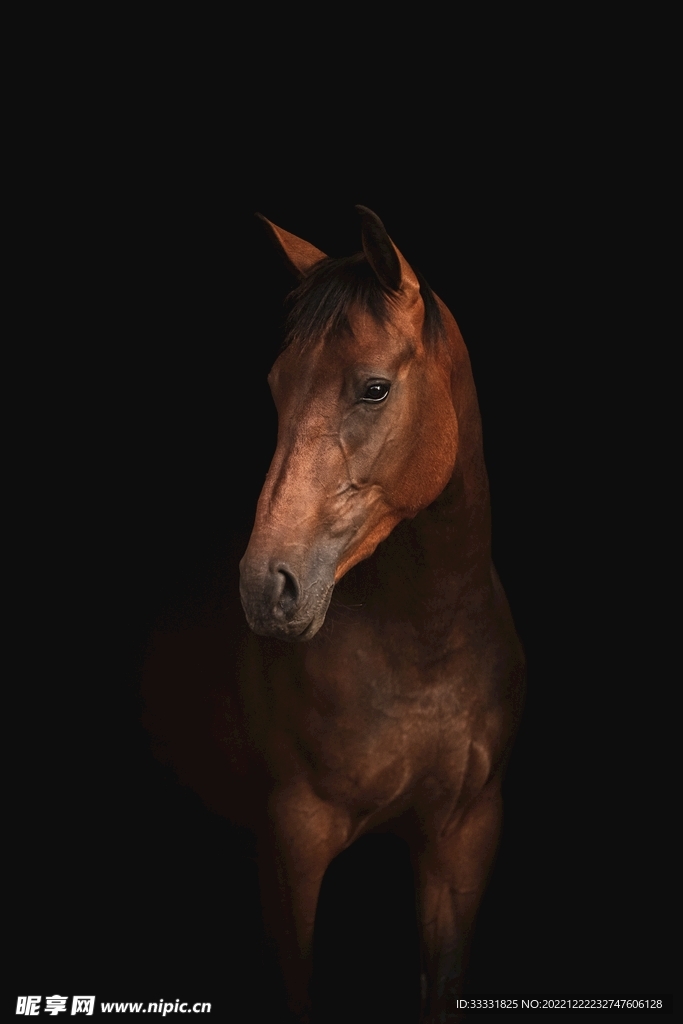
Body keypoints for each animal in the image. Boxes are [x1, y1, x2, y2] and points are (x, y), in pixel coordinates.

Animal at [143, 206, 524, 1023]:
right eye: (276, 385)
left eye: (373, 389)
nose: (267, 587)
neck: (424, 644)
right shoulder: (293, 842)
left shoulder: (464, 838)